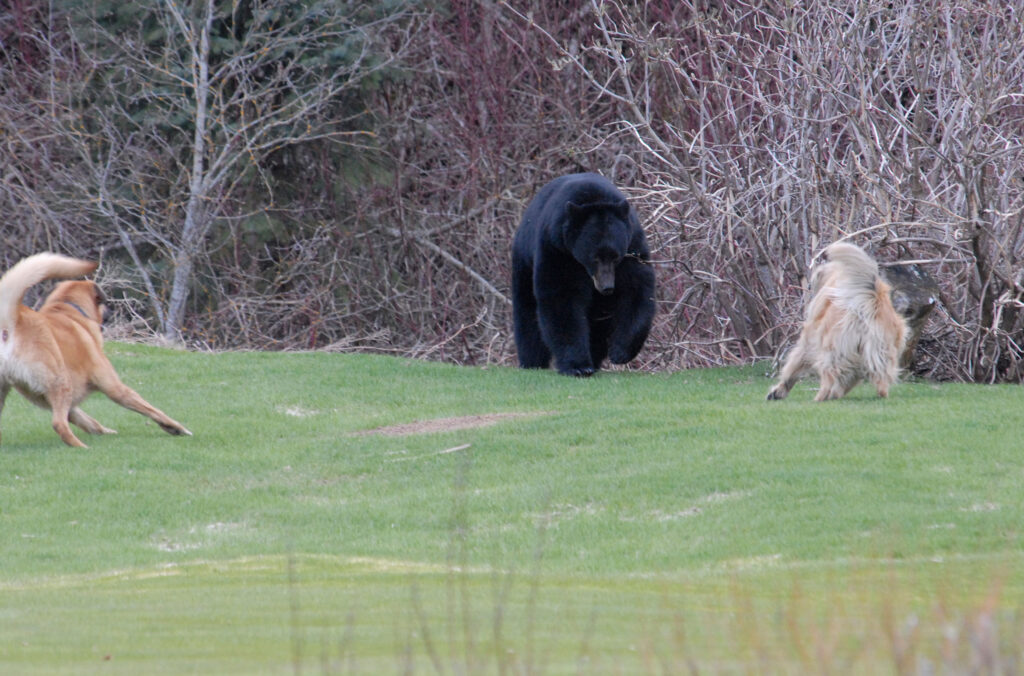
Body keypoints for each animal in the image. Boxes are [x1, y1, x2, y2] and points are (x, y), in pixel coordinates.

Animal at [0, 250, 192, 446]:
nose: (111, 311)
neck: (67, 309)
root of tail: (10, 324)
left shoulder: (52, 400)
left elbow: (89, 422)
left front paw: (107, 432)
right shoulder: (114, 387)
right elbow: (151, 409)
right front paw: (177, 427)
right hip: (60, 382)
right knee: (58, 424)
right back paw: (80, 446)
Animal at [512, 173, 655, 374]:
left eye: (615, 257)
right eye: (594, 258)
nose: (607, 287)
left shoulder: (632, 244)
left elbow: (637, 289)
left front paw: (620, 352)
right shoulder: (557, 248)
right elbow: (562, 297)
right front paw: (577, 366)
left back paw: (594, 358)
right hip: (524, 262)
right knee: (526, 313)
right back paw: (532, 361)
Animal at [765, 242, 909, 401]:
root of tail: (872, 300)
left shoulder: (808, 341)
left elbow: (793, 369)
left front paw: (778, 391)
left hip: (831, 352)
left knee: (829, 378)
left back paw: (820, 398)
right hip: (882, 354)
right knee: (881, 384)